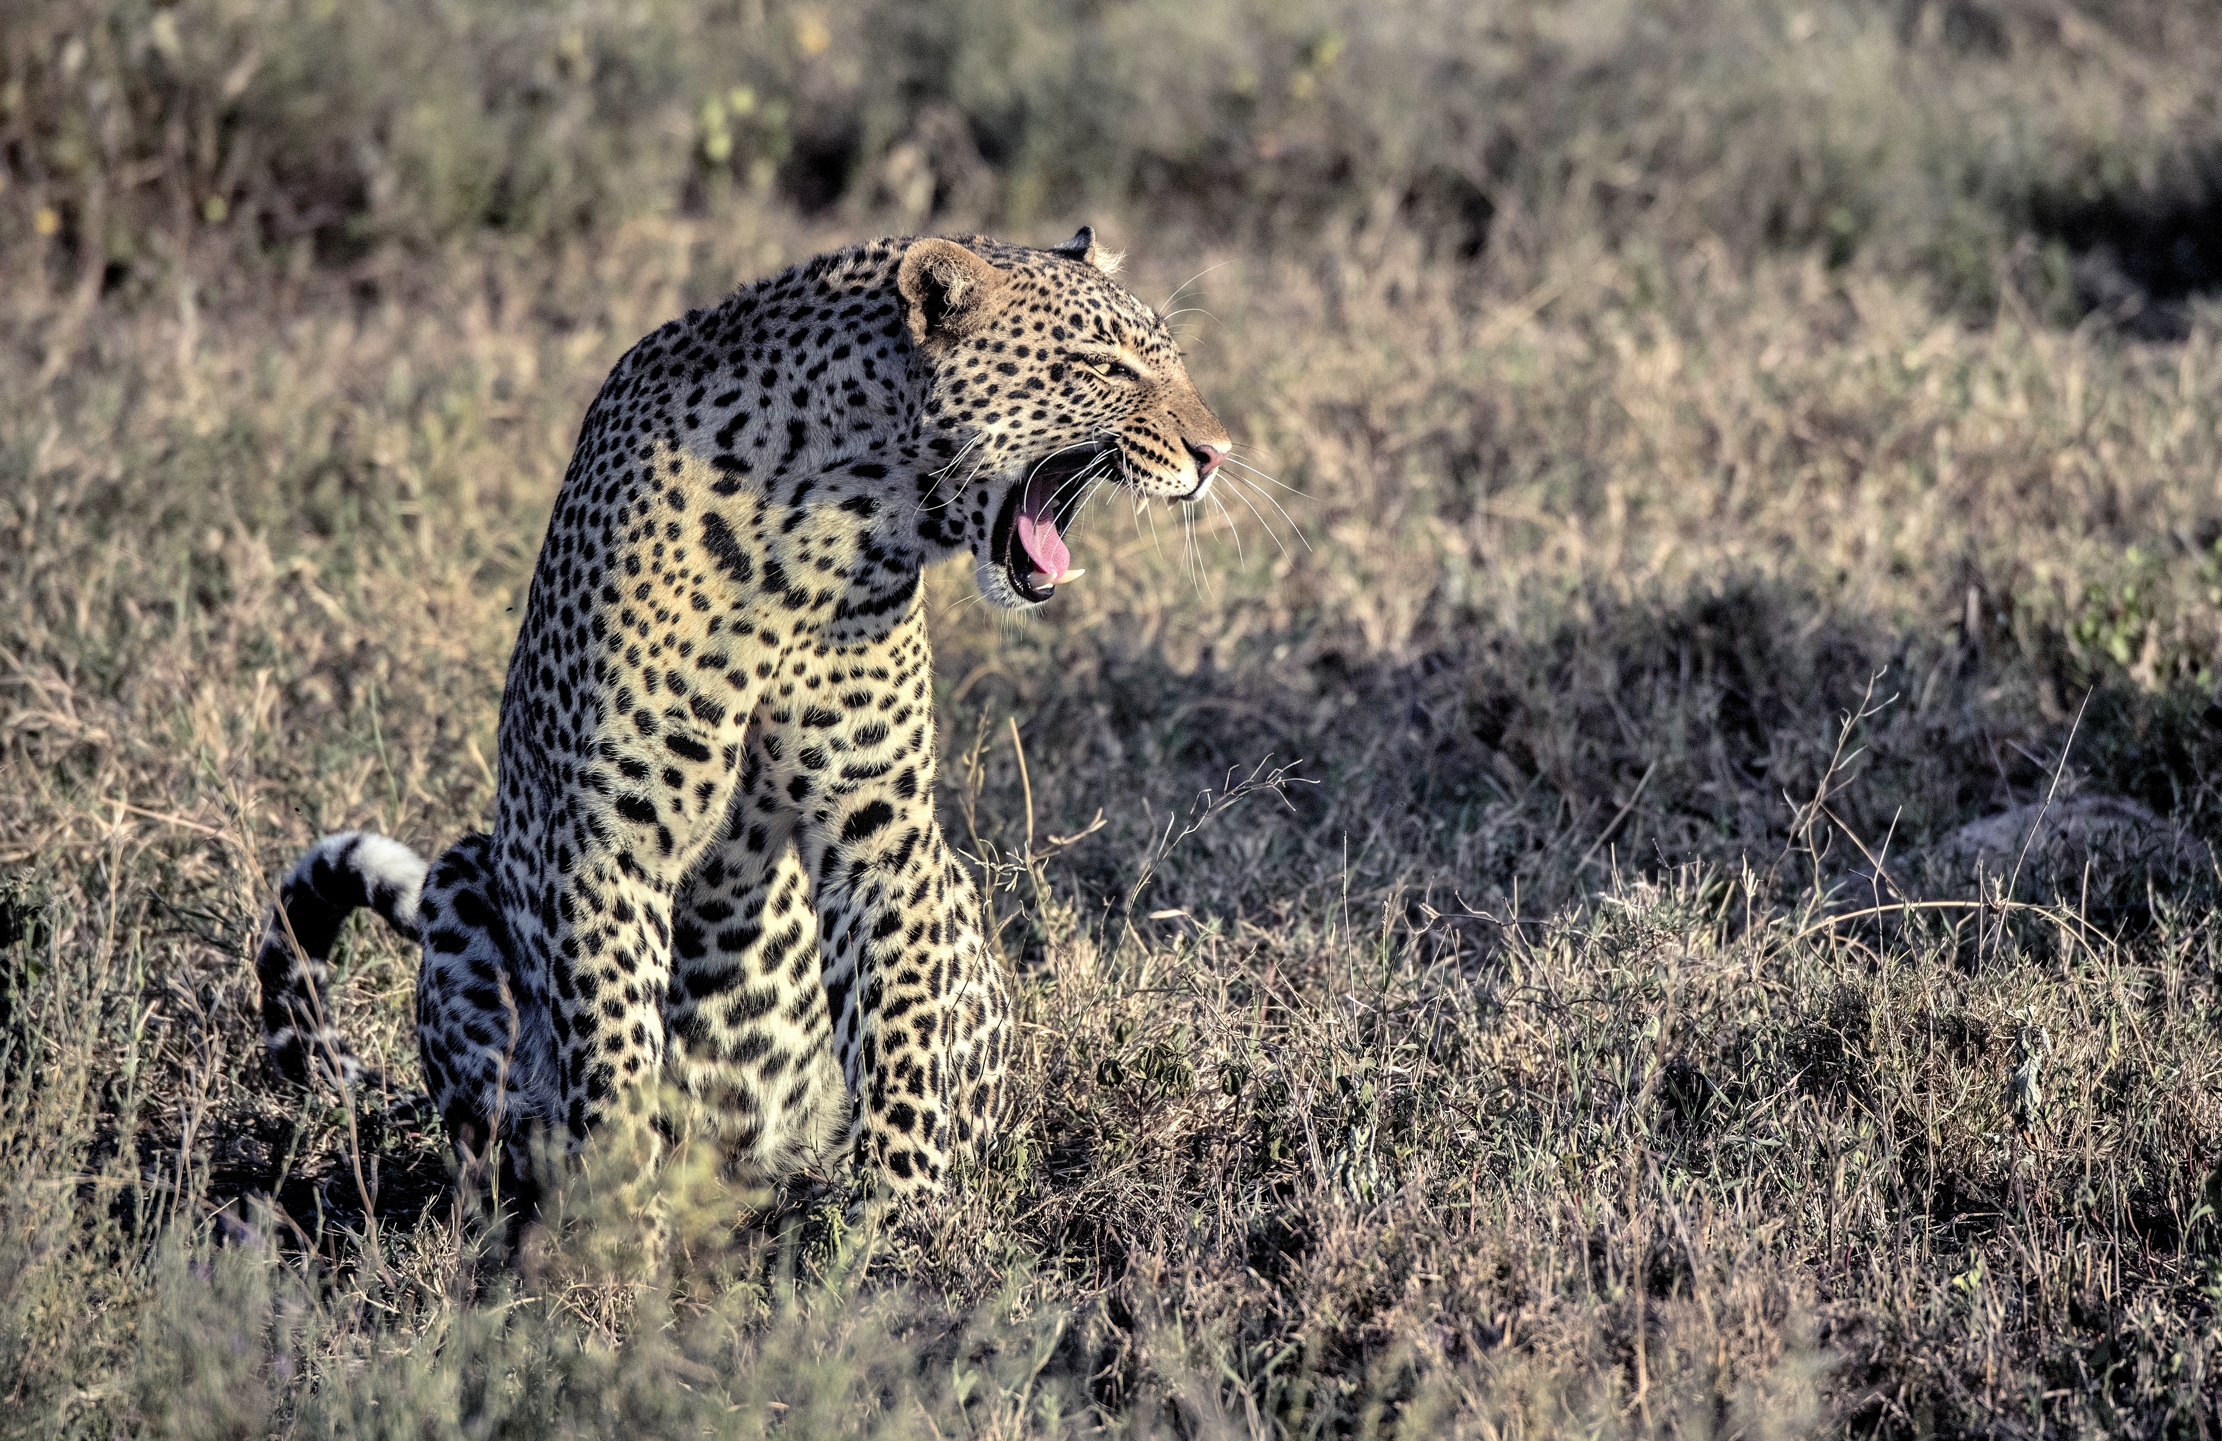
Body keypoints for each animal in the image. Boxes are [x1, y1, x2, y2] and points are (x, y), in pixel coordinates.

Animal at [251, 228, 1233, 1201]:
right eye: (1103, 366)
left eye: (1172, 360)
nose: (1216, 452)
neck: (833, 517)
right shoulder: (606, 837)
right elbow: (613, 1057)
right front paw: (620, 1229)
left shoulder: (881, 828)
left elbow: (901, 1038)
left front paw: (901, 1222)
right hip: (464, 877)